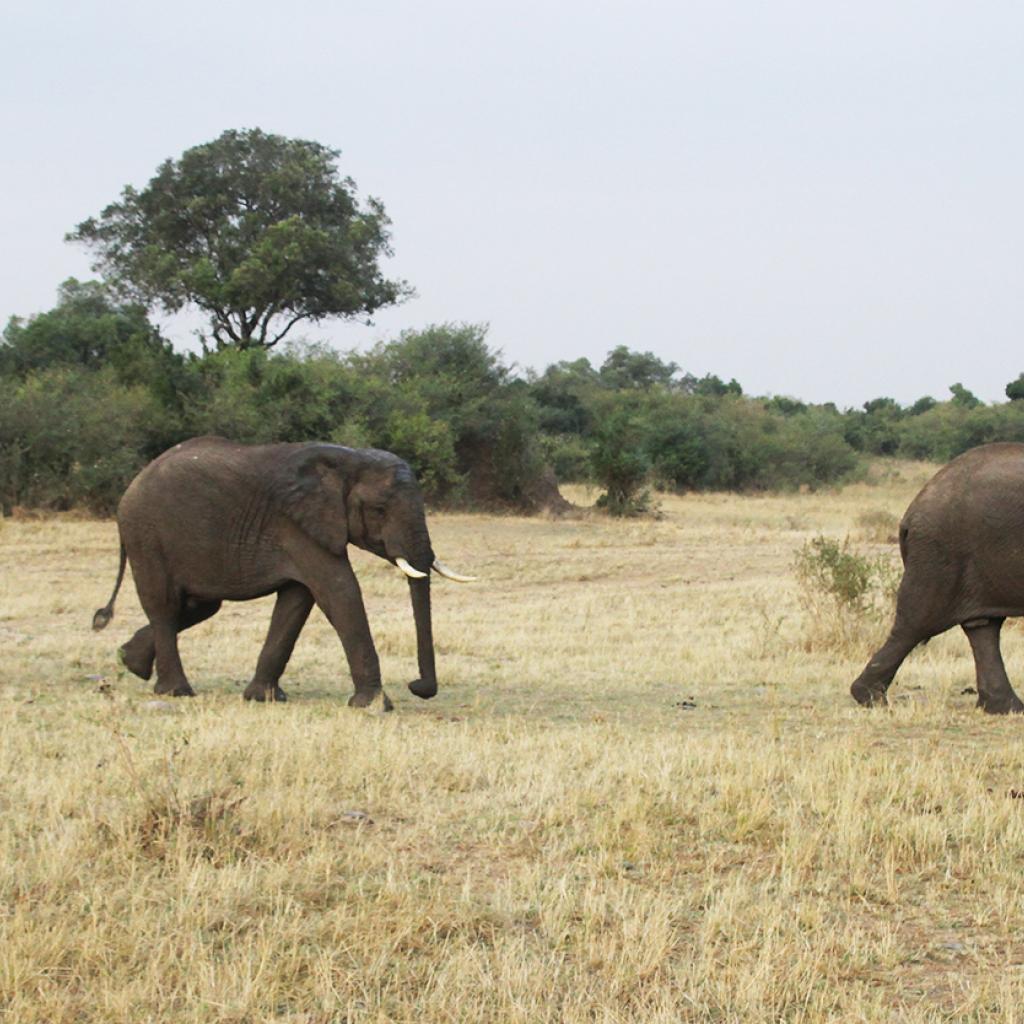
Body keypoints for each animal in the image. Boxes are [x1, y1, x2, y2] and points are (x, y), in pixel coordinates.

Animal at [92, 436, 475, 708]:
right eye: (380, 510)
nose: (418, 686)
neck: (348, 459)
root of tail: (132, 485)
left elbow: (297, 601)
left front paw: (264, 698)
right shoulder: (296, 525)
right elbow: (339, 591)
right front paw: (374, 706)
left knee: (197, 607)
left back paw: (130, 662)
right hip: (146, 535)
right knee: (165, 605)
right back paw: (176, 692)